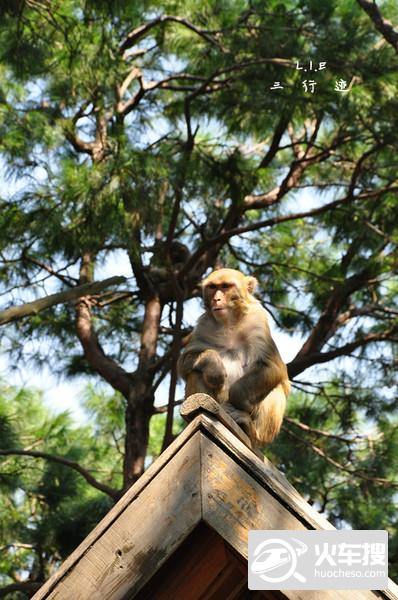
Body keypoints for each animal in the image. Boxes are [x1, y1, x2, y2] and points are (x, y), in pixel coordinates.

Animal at [179, 268, 290, 446]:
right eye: (212, 287)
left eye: (225, 286)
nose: (216, 299)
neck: (229, 322)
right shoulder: (204, 324)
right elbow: (185, 361)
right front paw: (213, 366)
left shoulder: (257, 319)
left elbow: (272, 365)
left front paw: (240, 400)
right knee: (196, 372)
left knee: (275, 388)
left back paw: (249, 429)